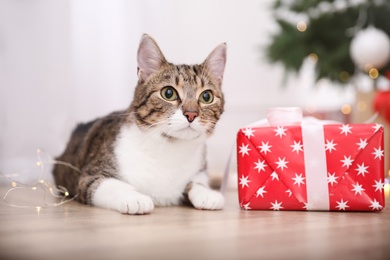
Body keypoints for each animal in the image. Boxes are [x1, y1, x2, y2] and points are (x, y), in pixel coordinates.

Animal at [53, 33, 227, 214]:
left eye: (206, 96)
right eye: (169, 93)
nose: (191, 114)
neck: (169, 149)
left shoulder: (199, 171)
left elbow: (197, 182)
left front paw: (207, 193)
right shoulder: (89, 177)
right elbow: (109, 184)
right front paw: (134, 198)